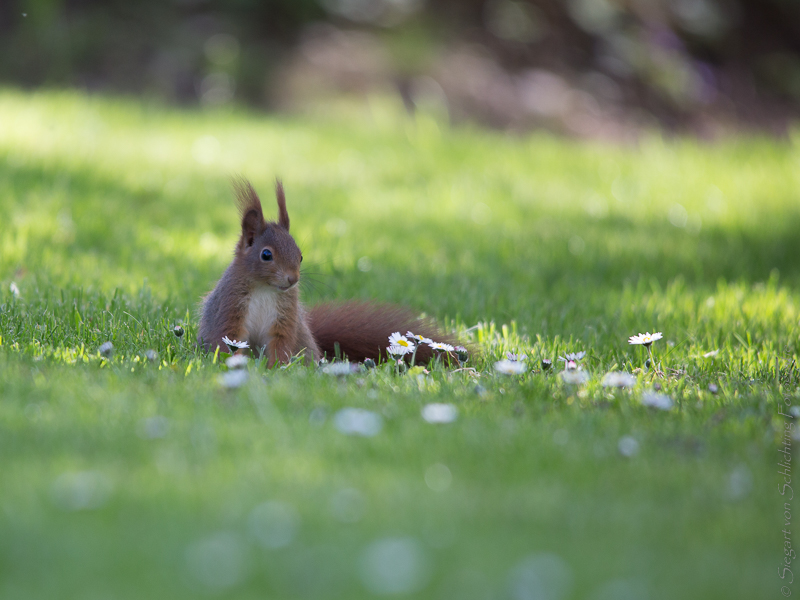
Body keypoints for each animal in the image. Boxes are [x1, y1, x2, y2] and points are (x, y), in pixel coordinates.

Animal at [198, 178, 454, 366]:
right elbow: (227, 339)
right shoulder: (230, 307)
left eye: (300, 256)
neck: (265, 289)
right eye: (266, 254)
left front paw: (276, 368)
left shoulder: (285, 319)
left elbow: (281, 344)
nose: (293, 279)